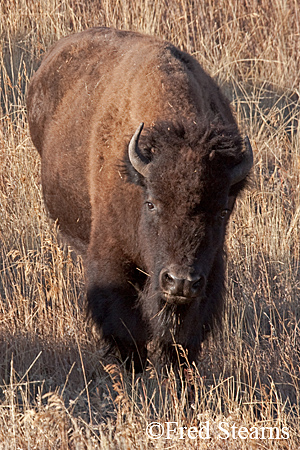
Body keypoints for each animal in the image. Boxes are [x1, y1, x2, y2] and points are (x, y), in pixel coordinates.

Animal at [26, 29, 253, 372]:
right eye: (152, 203)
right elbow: (126, 328)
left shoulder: (211, 272)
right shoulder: (112, 259)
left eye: (222, 211)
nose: (180, 281)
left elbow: (184, 338)